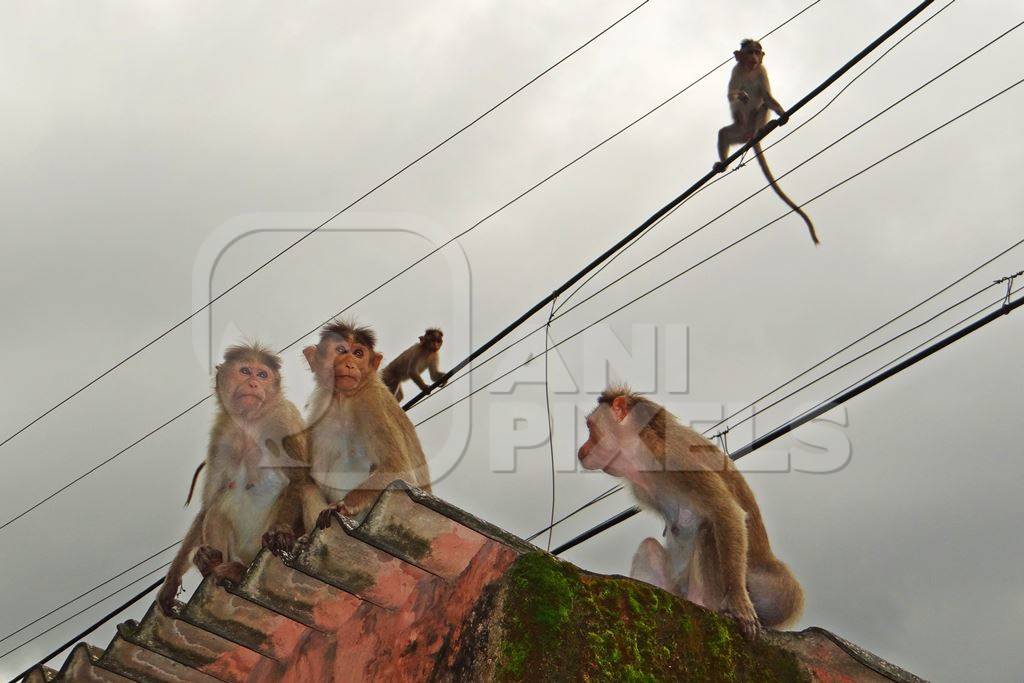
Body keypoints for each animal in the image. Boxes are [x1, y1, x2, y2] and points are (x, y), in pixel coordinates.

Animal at [155, 344, 307, 618]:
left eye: (262, 375)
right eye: (245, 371)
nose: (253, 383)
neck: (249, 423)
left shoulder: (283, 419)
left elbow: (301, 478)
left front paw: (282, 532)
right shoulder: (221, 436)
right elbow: (209, 502)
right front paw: (171, 582)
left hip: (255, 547)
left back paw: (237, 571)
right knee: (217, 506)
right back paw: (213, 564)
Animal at [299, 317, 430, 532]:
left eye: (358, 353)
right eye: (341, 350)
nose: (350, 364)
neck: (343, 399)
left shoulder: (372, 401)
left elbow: (398, 468)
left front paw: (343, 505)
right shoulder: (321, 406)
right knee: (309, 486)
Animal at [581, 387, 802, 638]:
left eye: (590, 427)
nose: (582, 449)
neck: (642, 449)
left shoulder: (676, 458)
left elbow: (726, 511)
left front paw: (738, 601)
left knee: (709, 528)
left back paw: (705, 603)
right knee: (649, 546)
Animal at [716, 38, 819, 245]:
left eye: (757, 52)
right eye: (750, 52)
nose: (755, 58)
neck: (749, 70)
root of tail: (748, 133)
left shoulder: (762, 71)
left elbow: (766, 97)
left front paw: (781, 113)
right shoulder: (736, 70)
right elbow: (731, 95)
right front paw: (739, 96)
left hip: (752, 123)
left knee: (763, 106)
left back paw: (761, 129)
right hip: (739, 130)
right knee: (723, 133)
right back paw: (722, 165)